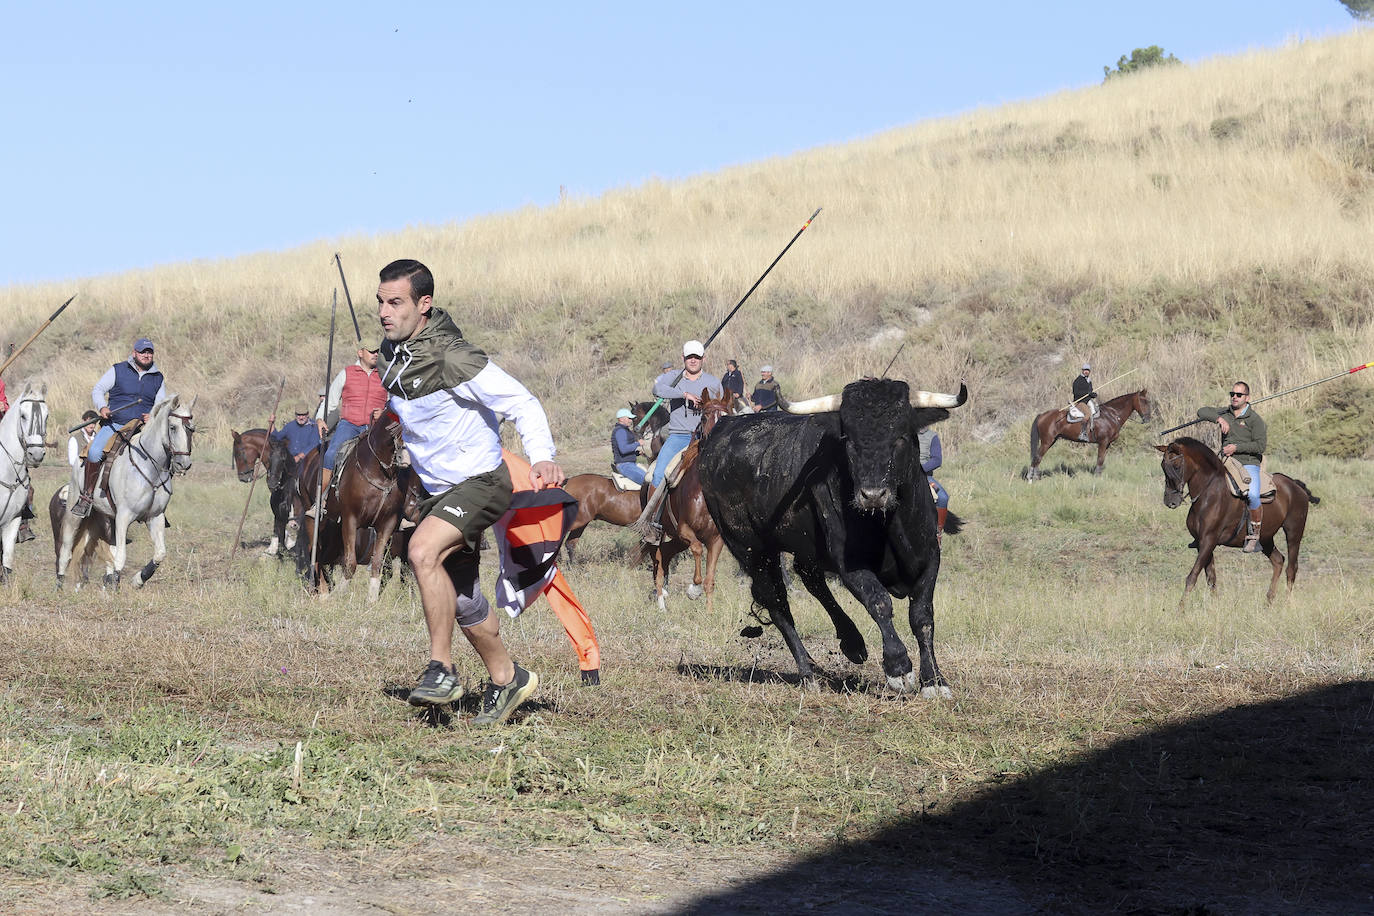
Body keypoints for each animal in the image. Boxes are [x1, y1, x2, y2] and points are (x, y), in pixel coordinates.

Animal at [55, 395, 195, 587]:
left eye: (192, 429)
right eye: (172, 427)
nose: (183, 464)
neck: (149, 467)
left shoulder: (155, 517)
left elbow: (160, 553)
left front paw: (138, 580)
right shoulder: (124, 516)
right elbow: (121, 556)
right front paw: (115, 585)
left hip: (109, 517)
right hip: (74, 513)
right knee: (67, 546)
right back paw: (60, 582)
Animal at [697, 379, 967, 694]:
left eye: (901, 436)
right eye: (849, 440)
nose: (872, 495)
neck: (886, 525)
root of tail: (722, 431)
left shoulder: (929, 557)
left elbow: (922, 616)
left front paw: (934, 679)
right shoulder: (848, 564)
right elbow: (879, 603)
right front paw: (899, 667)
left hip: (803, 547)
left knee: (810, 578)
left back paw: (852, 643)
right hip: (751, 549)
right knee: (777, 603)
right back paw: (808, 672)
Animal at [1159, 436, 1319, 609]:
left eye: (1176, 466)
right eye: (1162, 466)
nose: (1170, 501)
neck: (1209, 494)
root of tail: (1295, 485)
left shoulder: (1209, 540)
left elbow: (1192, 576)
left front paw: (1180, 609)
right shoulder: (1203, 544)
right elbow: (1211, 577)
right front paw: (1216, 607)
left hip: (1294, 533)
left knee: (1291, 568)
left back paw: (1287, 603)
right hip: (1266, 538)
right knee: (1278, 561)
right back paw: (1269, 600)